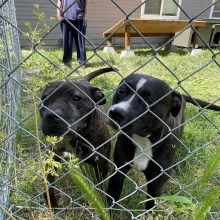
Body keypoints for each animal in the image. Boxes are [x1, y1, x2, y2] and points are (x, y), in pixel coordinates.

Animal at [39, 66, 117, 206]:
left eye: (76, 98)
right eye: (44, 99)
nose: (52, 115)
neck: (75, 139)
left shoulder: (101, 166)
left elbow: (100, 188)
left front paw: (102, 203)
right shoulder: (51, 161)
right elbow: (49, 186)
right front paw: (52, 204)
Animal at [105, 73, 219, 210]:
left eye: (150, 101)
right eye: (121, 90)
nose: (116, 113)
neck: (144, 140)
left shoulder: (155, 186)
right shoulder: (118, 172)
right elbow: (111, 200)